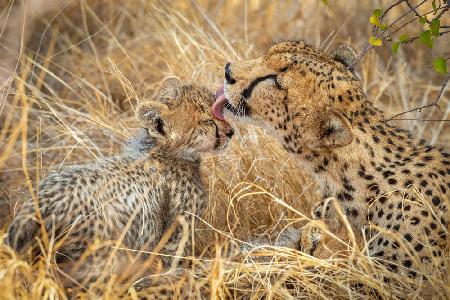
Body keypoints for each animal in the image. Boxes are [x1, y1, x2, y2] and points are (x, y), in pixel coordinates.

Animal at [7, 78, 234, 288]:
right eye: (208, 121)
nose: (231, 132)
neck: (164, 151)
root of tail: (38, 206)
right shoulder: (177, 231)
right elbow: (173, 263)